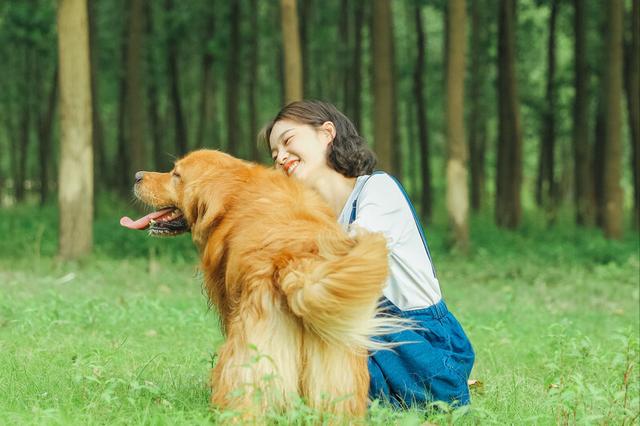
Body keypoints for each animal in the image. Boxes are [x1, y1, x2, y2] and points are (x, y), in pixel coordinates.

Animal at [117, 149, 392, 416]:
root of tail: (296, 258)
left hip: (250, 348)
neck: (234, 192)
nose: (137, 176)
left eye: (176, 175)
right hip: (335, 361)